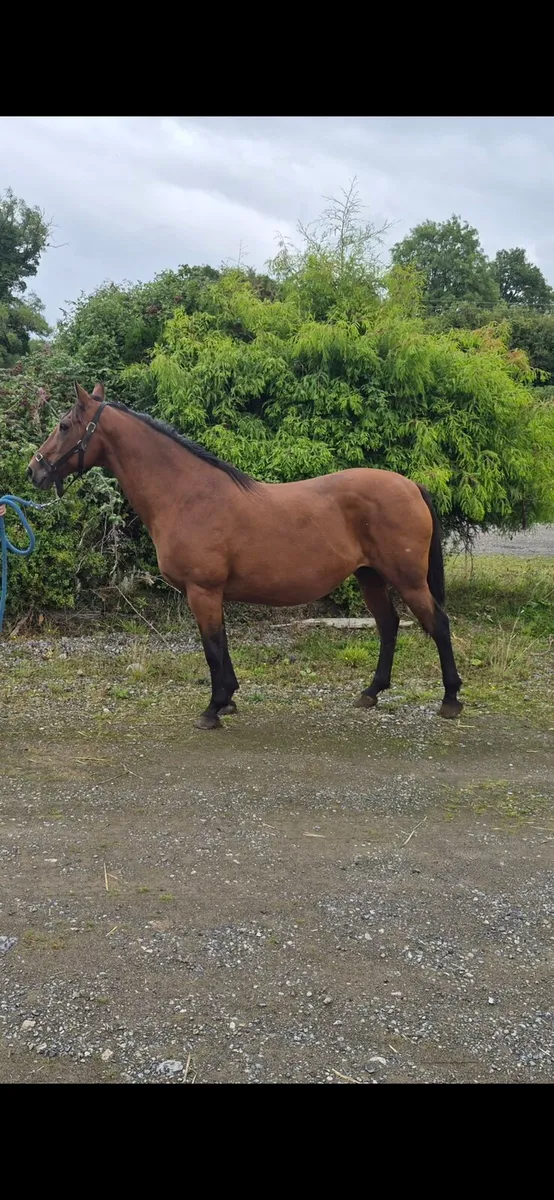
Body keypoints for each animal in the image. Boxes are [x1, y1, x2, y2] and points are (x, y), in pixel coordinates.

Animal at [27, 382, 463, 730]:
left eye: (64, 426)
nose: (35, 470)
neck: (187, 494)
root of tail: (411, 486)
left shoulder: (202, 591)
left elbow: (212, 647)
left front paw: (213, 709)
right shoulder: (211, 593)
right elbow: (221, 643)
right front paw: (229, 701)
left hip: (408, 579)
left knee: (438, 624)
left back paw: (450, 700)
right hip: (370, 576)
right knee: (389, 626)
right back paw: (371, 692)